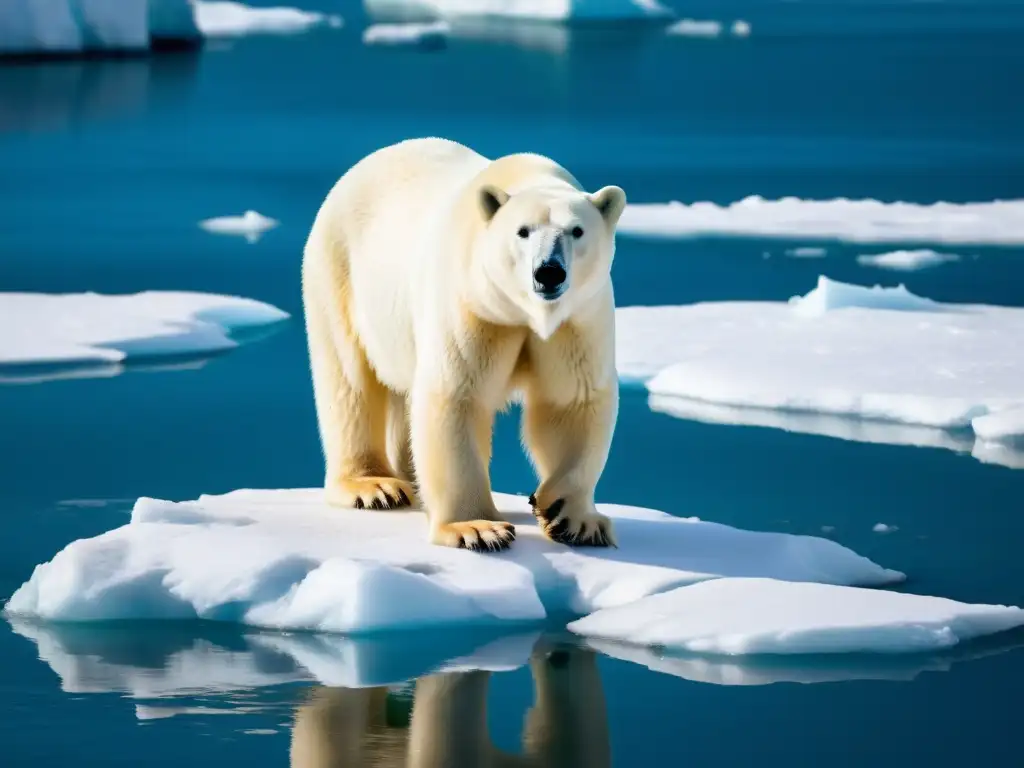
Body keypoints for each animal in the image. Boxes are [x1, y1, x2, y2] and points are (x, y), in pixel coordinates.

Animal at [299, 135, 626, 548]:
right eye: (523, 231)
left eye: (577, 231)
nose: (549, 272)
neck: (522, 312)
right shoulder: (472, 305)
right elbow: (457, 396)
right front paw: (477, 528)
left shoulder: (578, 320)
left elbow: (571, 400)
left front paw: (574, 519)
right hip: (340, 274)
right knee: (349, 381)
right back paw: (375, 486)